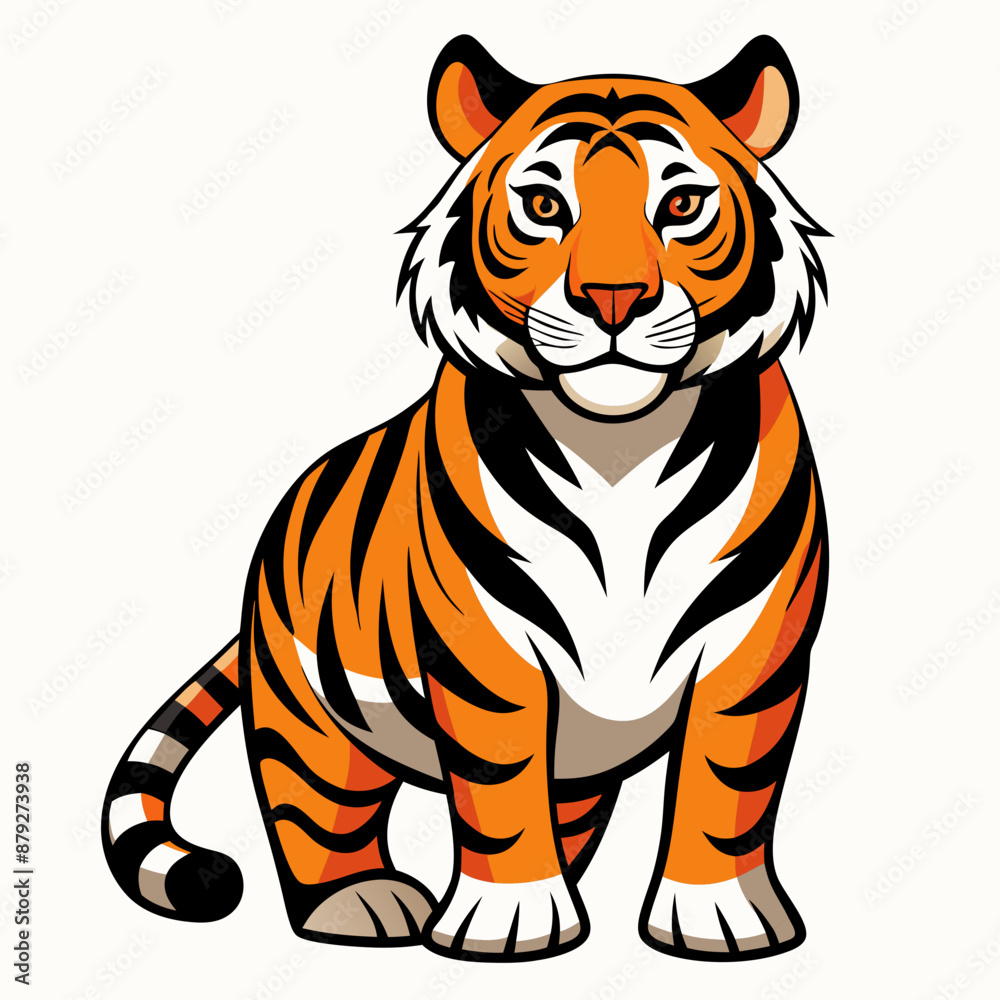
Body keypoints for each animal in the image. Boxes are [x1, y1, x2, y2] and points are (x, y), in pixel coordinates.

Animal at [103, 33, 829, 963]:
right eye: (546, 204)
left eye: (683, 204)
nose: (615, 298)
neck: (621, 443)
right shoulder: (485, 648)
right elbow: (499, 783)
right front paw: (508, 921)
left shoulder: (753, 645)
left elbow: (727, 784)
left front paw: (719, 919)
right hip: (308, 715)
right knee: (318, 810)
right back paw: (362, 902)